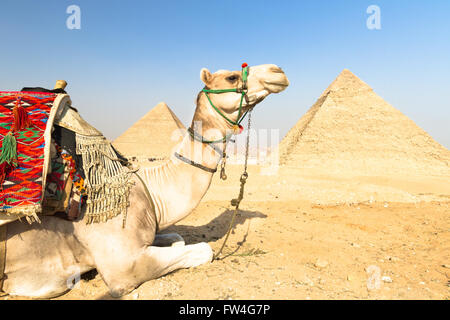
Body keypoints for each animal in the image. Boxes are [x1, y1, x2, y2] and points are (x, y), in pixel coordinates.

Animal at [0, 63, 288, 298]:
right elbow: (205, 249)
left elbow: (178, 238)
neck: (148, 188)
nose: (278, 71)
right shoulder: (122, 267)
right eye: (231, 76)